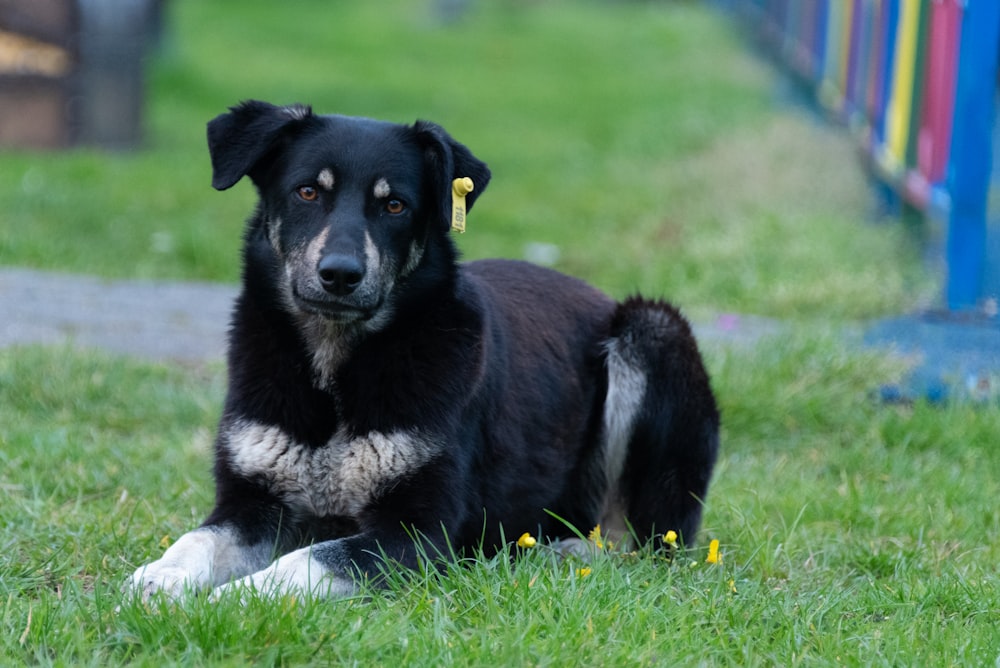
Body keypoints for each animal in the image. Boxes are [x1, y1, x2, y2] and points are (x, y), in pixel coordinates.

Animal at [129, 100, 720, 600]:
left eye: (394, 205)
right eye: (307, 193)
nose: (340, 275)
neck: (336, 362)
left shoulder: (416, 531)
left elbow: (305, 561)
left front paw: (233, 601)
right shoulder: (252, 505)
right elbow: (196, 540)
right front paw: (159, 578)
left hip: (652, 332)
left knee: (640, 544)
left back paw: (565, 552)